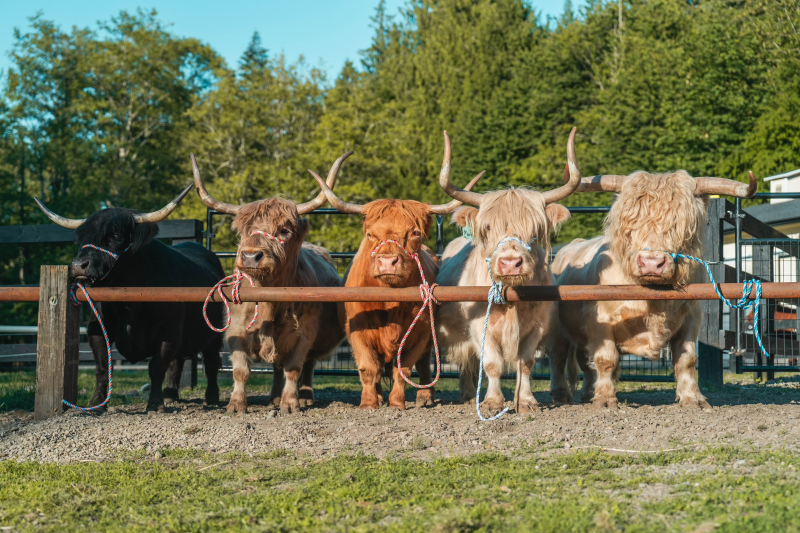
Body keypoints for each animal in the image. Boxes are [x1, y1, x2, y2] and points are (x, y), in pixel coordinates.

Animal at [34, 187, 225, 413]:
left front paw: (155, 404)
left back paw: (211, 398)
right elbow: (102, 366)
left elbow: (157, 367)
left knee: (212, 363)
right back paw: (170, 394)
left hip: (215, 334)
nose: (79, 265)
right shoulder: (96, 327)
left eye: (115, 235)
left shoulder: (168, 331)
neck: (129, 305)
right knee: (178, 363)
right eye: (82, 237)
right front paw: (97, 403)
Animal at [191, 153, 347, 414]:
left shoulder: (304, 334)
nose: (250, 256)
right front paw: (236, 404)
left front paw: (291, 403)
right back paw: (273, 397)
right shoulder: (236, 331)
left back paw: (305, 396)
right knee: (276, 368)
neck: (268, 300)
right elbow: (241, 371)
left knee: (307, 366)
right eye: (244, 230)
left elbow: (294, 368)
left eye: (284, 230)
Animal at [309, 146, 483, 409]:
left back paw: (424, 397)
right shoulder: (356, 332)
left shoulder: (420, 332)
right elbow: (368, 368)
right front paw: (369, 402)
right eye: (370, 234)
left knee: (423, 364)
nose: (387, 262)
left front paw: (397, 402)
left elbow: (405, 368)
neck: (389, 302)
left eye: (414, 233)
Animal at [435, 129, 581, 415]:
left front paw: (525, 401)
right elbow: (492, 363)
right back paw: (468, 396)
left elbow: (526, 362)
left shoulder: (537, 326)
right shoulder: (479, 324)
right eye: (488, 227)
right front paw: (492, 402)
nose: (511, 263)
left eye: (535, 228)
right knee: (467, 361)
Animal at [549, 169, 757, 408]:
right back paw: (561, 395)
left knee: (584, 361)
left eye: (681, 223)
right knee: (558, 356)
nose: (651, 263)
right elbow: (605, 358)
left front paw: (692, 398)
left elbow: (687, 359)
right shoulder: (599, 318)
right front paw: (605, 399)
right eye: (630, 223)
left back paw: (587, 393)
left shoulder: (692, 316)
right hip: (559, 328)